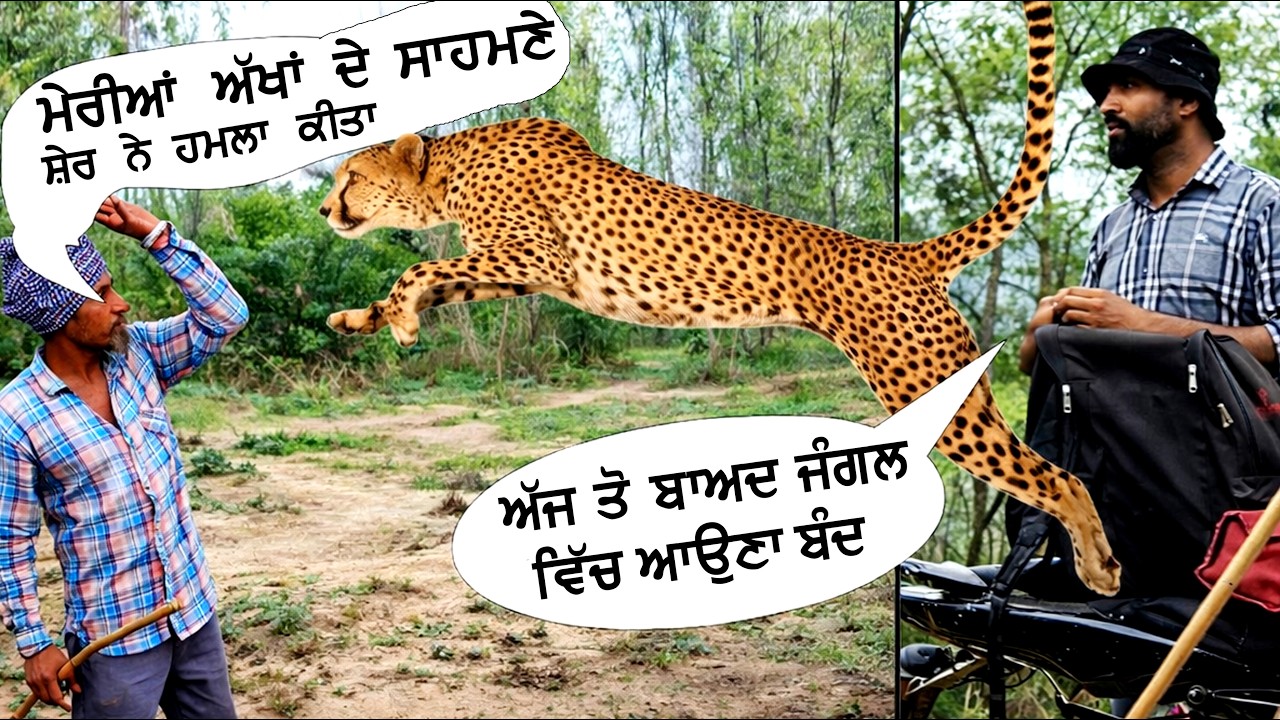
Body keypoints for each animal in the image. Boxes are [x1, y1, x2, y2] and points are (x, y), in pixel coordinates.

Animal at [318, 1, 1121, 596]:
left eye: (351, 177)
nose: (325, 210)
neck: (449, 168)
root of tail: (902, 251)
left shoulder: (538, 256)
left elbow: (417, 272)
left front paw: (400, 320)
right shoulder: (521, 267)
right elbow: (426, 280)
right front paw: (363, 319)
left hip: (929, 389)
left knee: (1059, 476)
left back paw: (1103, 568)